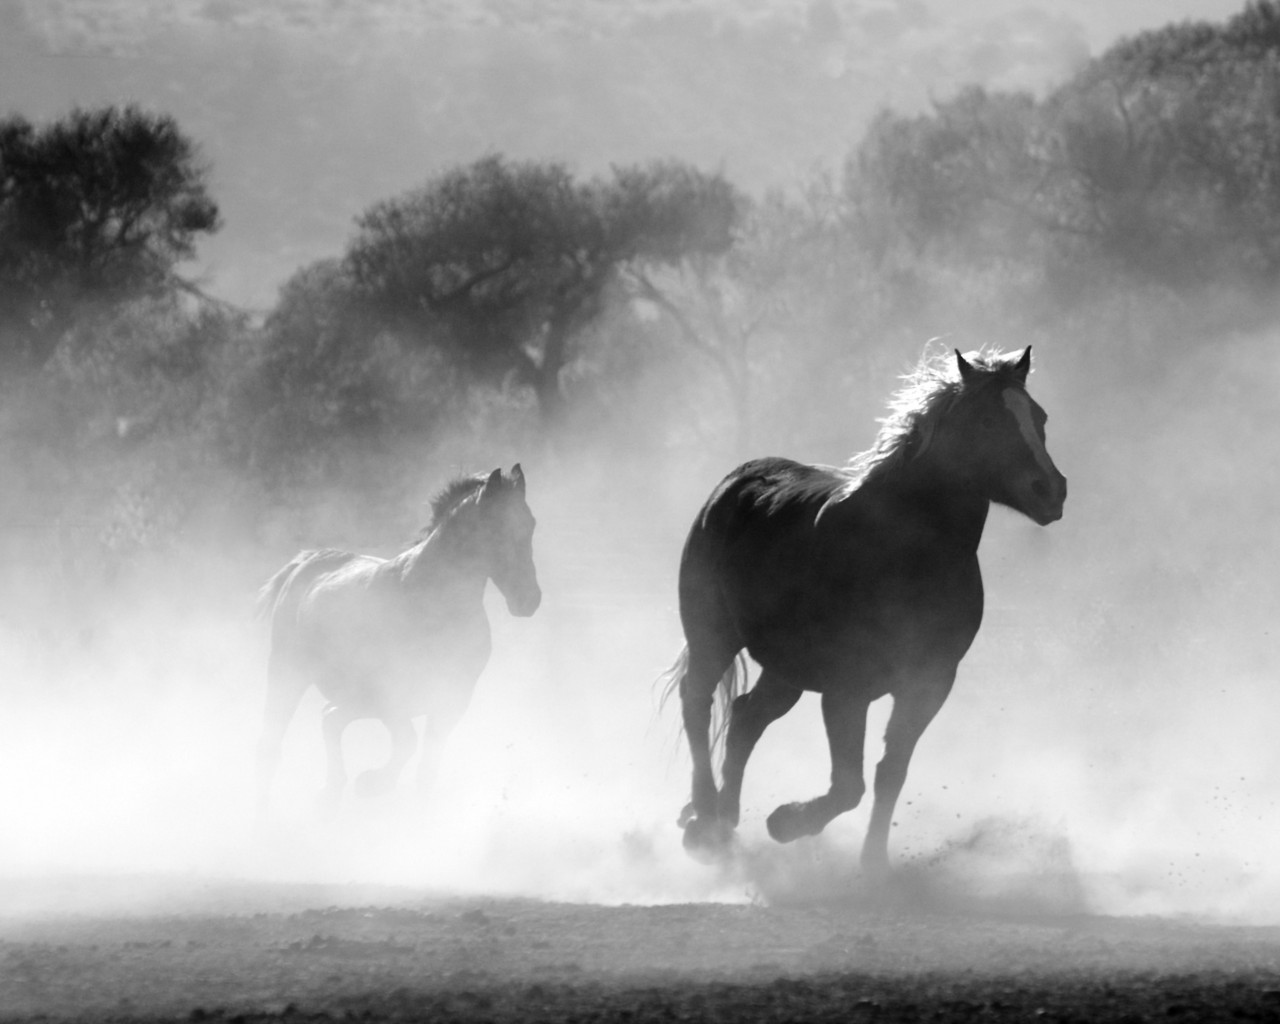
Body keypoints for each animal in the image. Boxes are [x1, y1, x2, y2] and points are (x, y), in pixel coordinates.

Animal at [255, 464, 540, 817]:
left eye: (530, 523)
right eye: (496, 527)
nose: (529, 600)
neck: (433, 603)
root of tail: (305, 563)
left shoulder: (452, 701)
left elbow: (426, 770)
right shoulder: (391, 696)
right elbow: (407, 742)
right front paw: (371, 783)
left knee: (329, 718)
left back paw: (330, 793)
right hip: (288, 672)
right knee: (274, 740)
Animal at [663, 347, 1066, 874]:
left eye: (1039, 417)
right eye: (985, 420)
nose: (1051, 491)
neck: (905, 553)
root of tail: (734, 483)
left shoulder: (929, 683)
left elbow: (889, 773)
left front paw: (873, 864)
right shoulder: (846, 689)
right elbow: (849, 785)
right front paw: (787, 822)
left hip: (786, 669)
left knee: (746, 716)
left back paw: (726, 821)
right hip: (713, 636)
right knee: (697, 704)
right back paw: (705, 821)